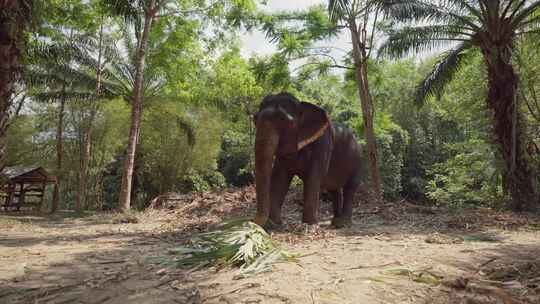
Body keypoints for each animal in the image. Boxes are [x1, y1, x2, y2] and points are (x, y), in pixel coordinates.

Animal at [253, 92, 362, 228]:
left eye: (283, 120)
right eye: (255, 119)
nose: (253, 223)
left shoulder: (323, 143)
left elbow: (314, 176)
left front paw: (309, 226)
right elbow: (280, 178)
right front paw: (273, 225)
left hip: (357, 160)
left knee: (350, 188)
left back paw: (343, 223)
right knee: (334, 190)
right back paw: (335, 222)